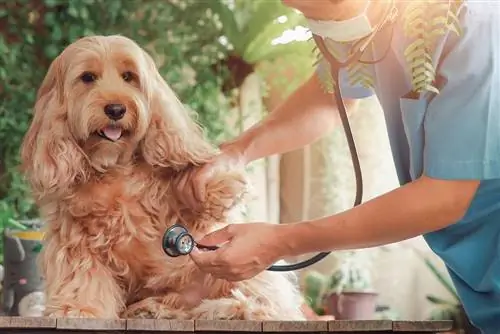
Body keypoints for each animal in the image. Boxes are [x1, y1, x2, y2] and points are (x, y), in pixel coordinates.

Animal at [19, 34, 304, 320]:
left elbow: (197, 195)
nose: (115, 109)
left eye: (128, 76)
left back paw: (236, 308)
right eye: (87, 77)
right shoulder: (74, 238)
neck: (115, 167)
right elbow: (81, 278)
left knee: (268, 300)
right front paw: (77, 310)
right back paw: (153, 309)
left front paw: (217, 184)